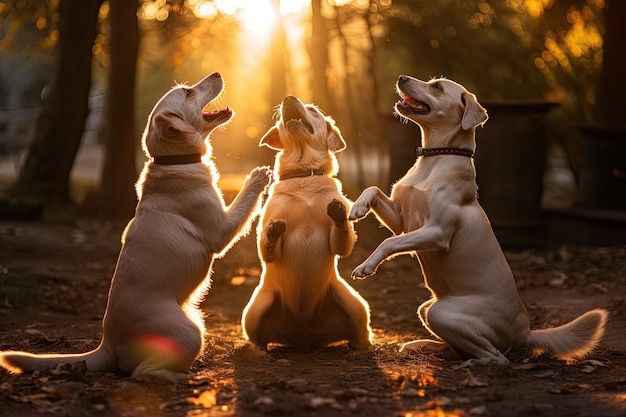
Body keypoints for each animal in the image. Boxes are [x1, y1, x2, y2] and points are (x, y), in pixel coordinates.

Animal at [1, 72, 270, 380]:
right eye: (188, 93)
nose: (217, 74)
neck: (174, 162)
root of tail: (107, 345)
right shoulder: (221, 229)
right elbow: (244, 203)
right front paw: (258, 177)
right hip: (192, 331)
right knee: (143, 372)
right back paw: (180, 377)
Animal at [240, 96, 370, 350]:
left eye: (313, 110)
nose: (288, 98)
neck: (304, 174)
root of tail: (303, 336)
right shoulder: (267, 247)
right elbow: (267, 244)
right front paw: (274, 230)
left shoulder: (339, 244)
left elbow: (342, 236)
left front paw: (338, 214)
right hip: (255, 309)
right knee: (258, 340)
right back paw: (257, 352)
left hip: (354, 304)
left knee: (360, 334)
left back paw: (359, 348)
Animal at [346, 75, 604, 368]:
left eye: (437, 87)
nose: (401, 77)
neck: (435, 157)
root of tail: (524, 330)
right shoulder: (402, 219)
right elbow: (374, 190)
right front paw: (357, 207)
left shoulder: (436, 233)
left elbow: (388, 242)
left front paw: (366, 266)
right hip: (426, 308)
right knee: (457, 347)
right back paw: (423, 345)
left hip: (441, 312)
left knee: (497, 356)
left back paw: (473, 363)